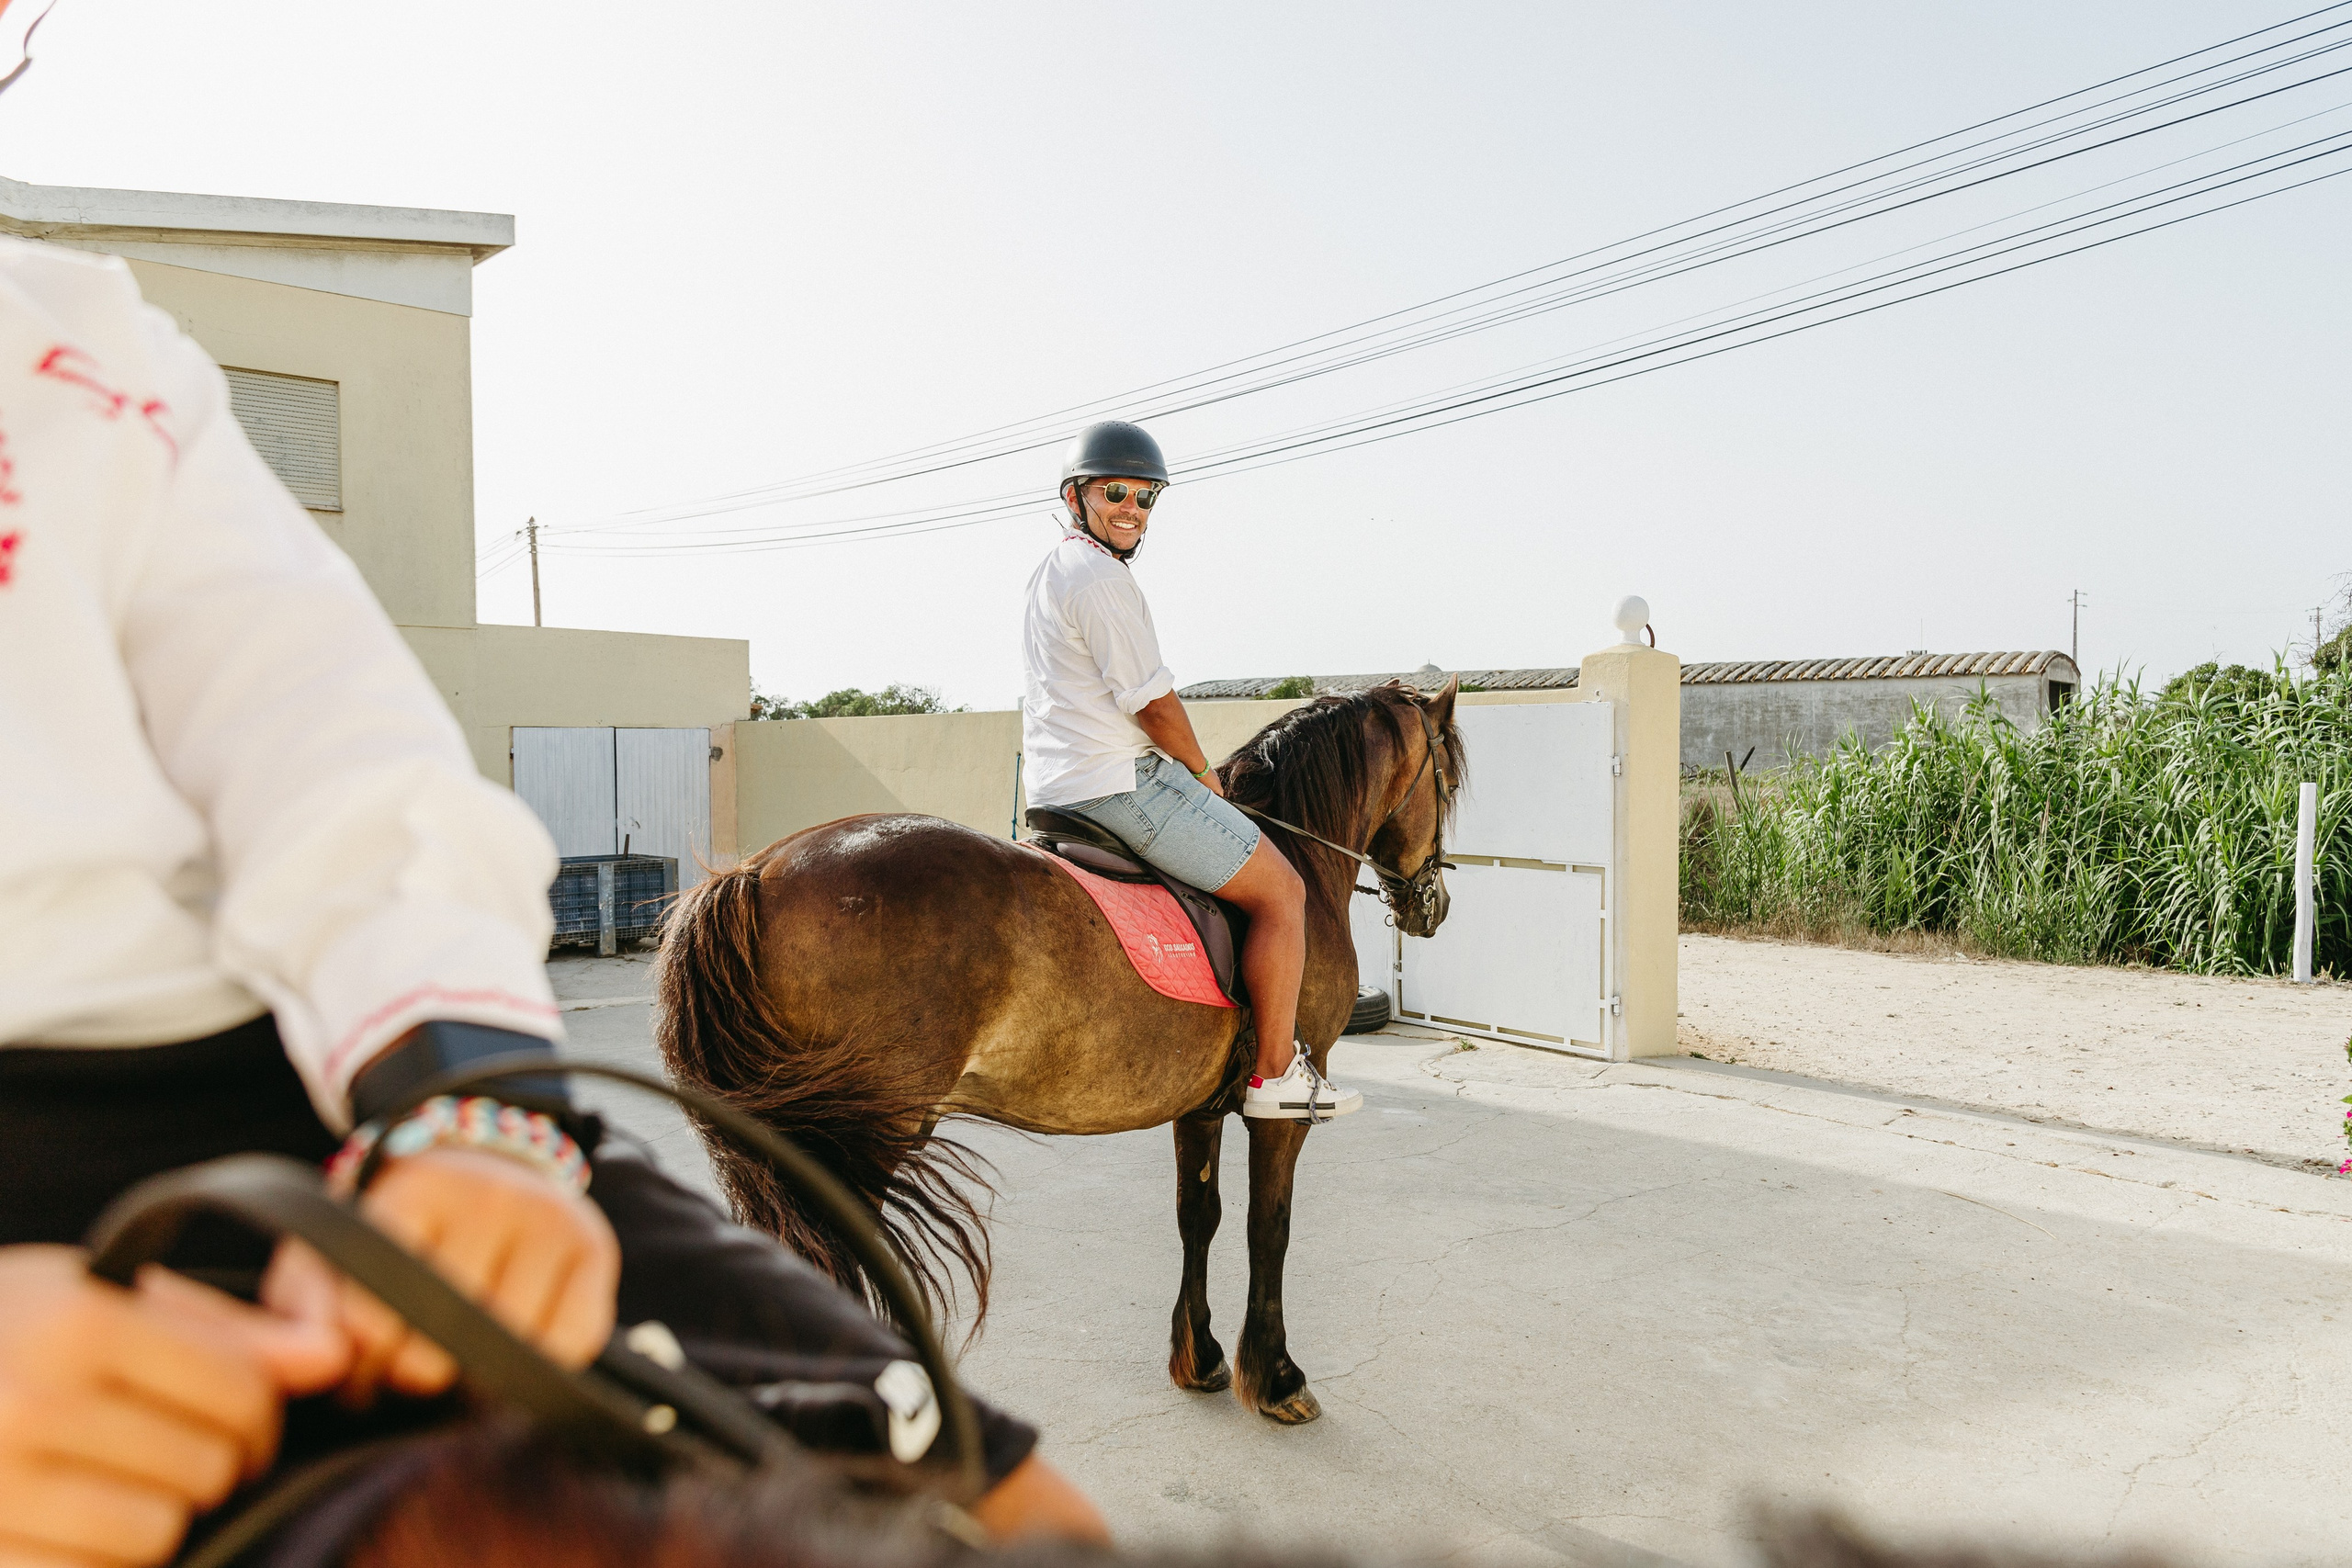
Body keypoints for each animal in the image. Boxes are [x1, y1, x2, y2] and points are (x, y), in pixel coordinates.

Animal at [654, 679, 1463, 1424]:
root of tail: (756, 872)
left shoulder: (1197, 1108)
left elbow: (1198, 1215)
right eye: (1450, 782)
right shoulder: (1282, 1113)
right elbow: (1271, 1226)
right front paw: (1276, 1376)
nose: (1433, 905)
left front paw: (1199, 1356)